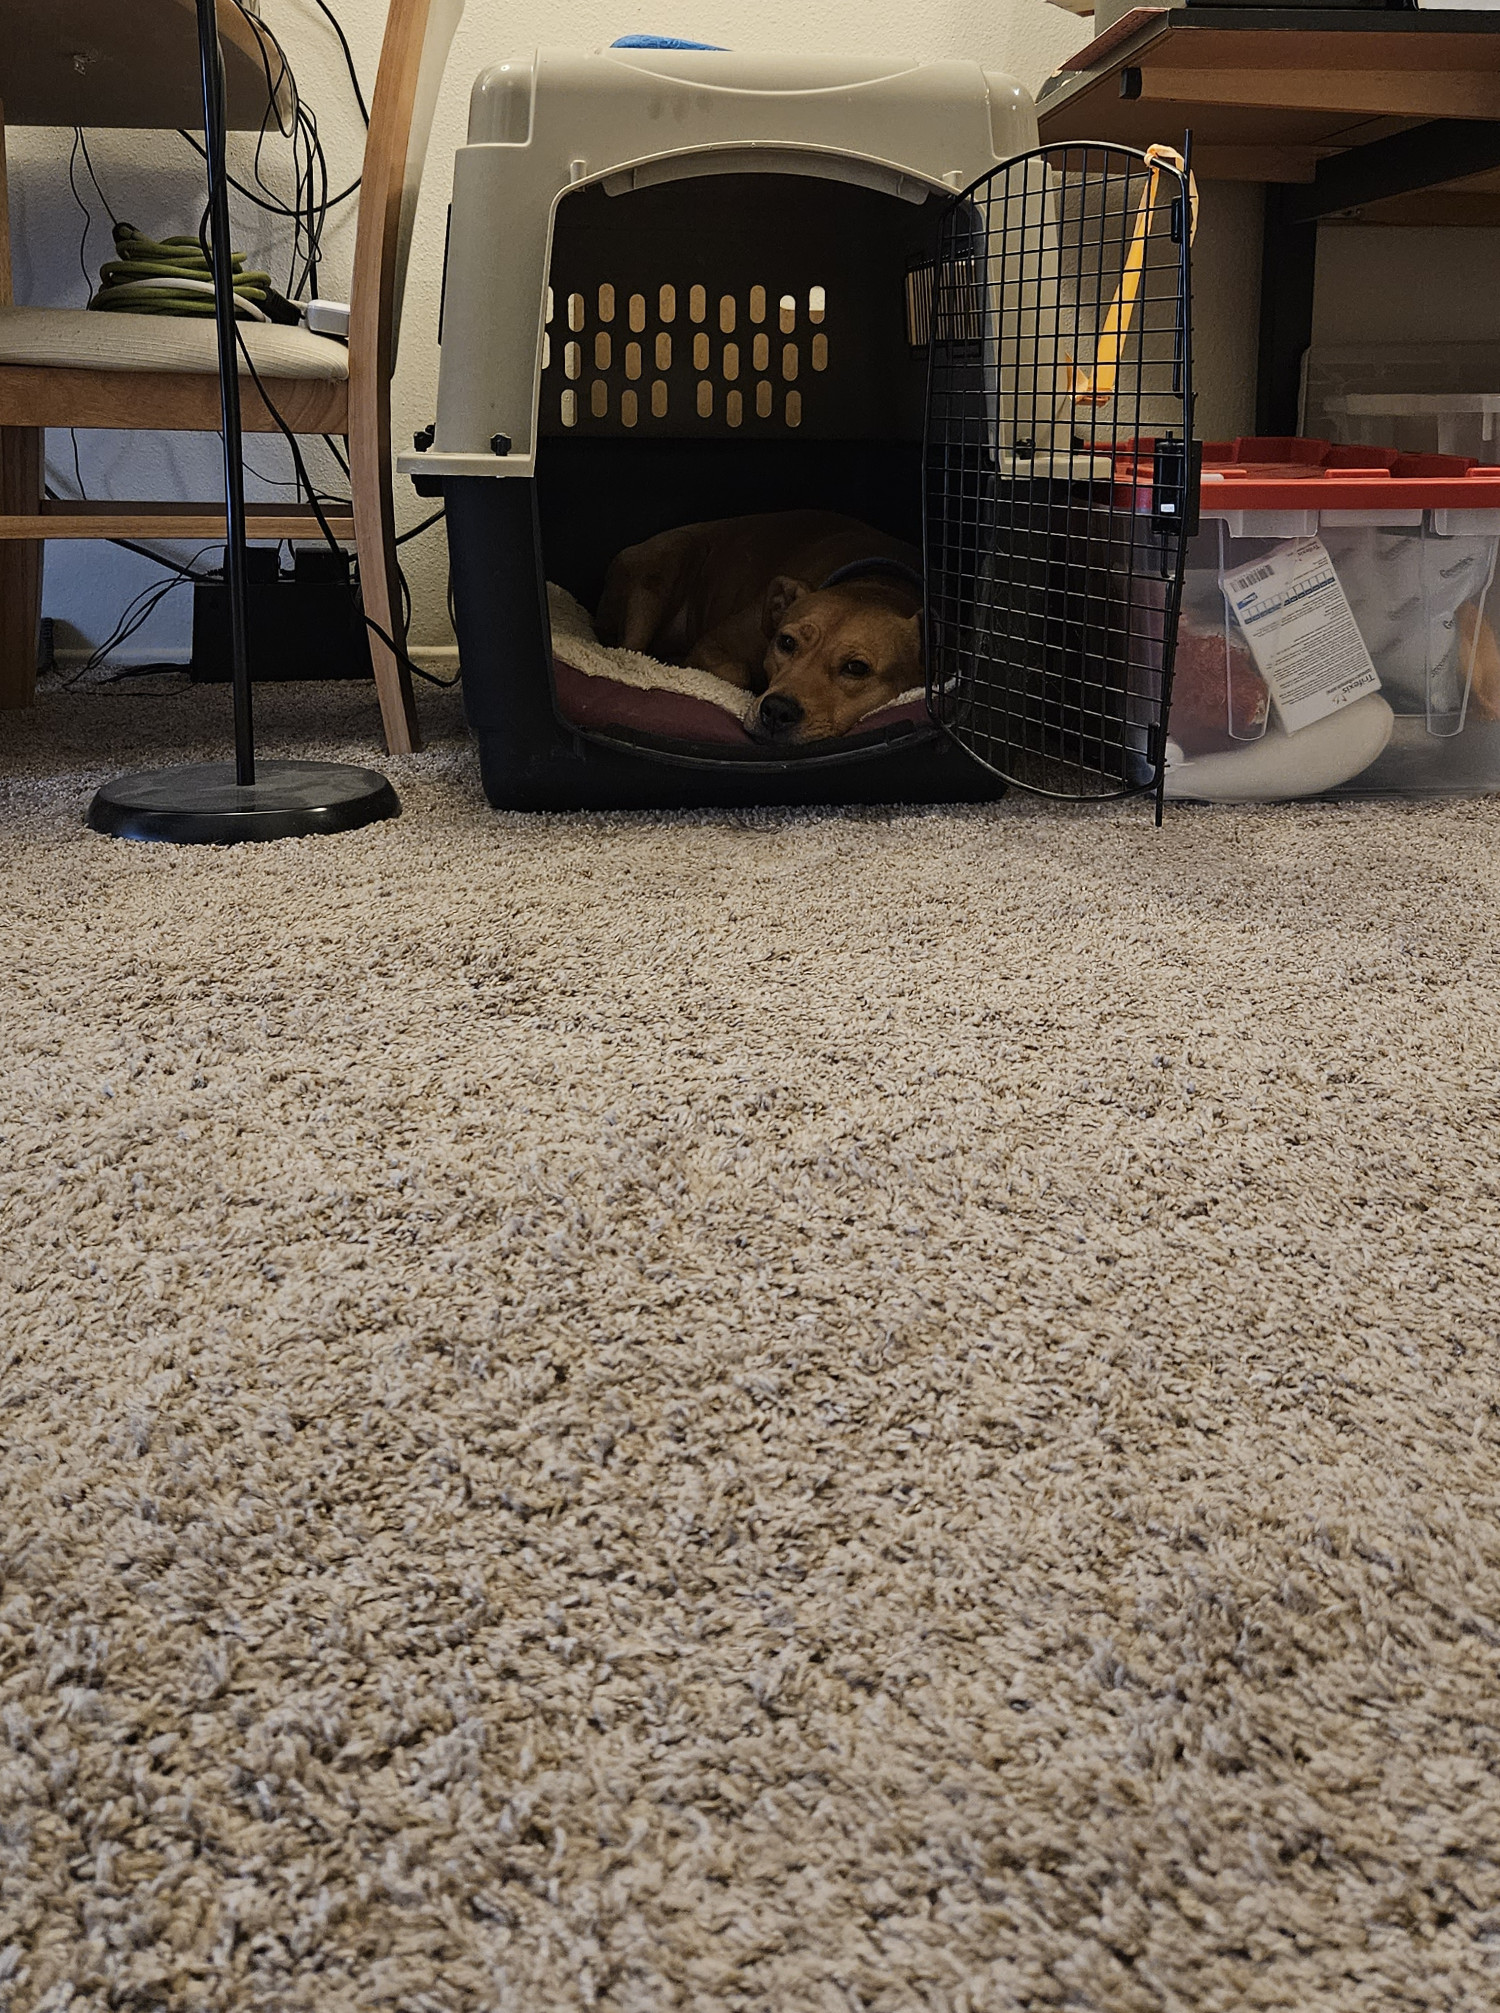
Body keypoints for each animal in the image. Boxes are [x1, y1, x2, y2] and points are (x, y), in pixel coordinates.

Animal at [595, 511, 926, 748]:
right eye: (786, 642)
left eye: (856, 668)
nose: (778, 710)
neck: (875, 583)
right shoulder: (715, 643)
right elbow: (736, 672)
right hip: (665, 565)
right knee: (631, 652)